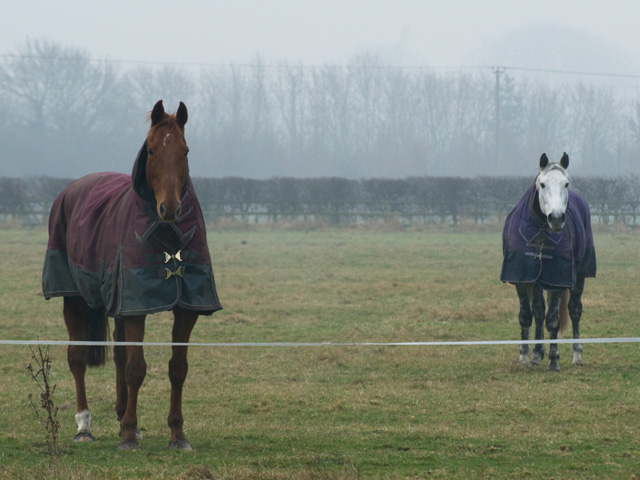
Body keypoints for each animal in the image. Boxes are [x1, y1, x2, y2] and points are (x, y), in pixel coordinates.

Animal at [43, 101, 222, 450]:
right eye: (151, 150)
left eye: (185, 150)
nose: (170, 208)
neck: (169, 240)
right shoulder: (136, 306)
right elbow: (136, 368)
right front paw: (127, 436)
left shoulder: (186, 307)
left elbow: (177, 368)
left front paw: (177, 435)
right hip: (73, 296)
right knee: (77, 357)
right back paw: (85, 426)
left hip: (117, 307)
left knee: (118, 355)